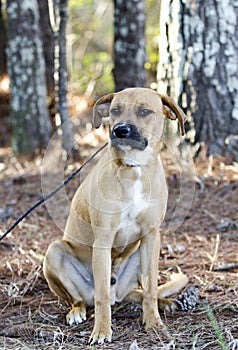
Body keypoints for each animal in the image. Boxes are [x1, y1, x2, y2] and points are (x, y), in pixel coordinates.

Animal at [42, 87, 188, 344]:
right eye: (115, 110)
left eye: (144, 111)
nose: (120, 130)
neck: (134, 168)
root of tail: (117, 291)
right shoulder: (103, 241)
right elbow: (101, 297)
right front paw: (102, 331)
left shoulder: (151, 237)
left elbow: (150, 288)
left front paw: (153, 322)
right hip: (55, 252)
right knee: (81, 299)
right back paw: (77, 312)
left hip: (139, 257)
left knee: (136, 292)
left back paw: (165, 302)